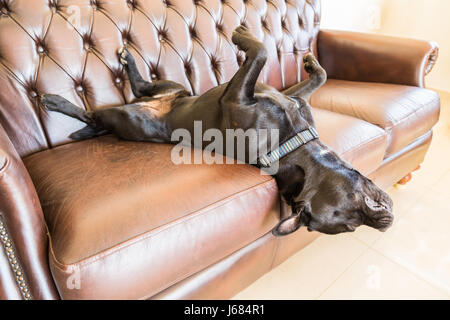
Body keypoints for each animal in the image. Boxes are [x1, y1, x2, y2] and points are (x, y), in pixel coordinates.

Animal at [42, 26, 394, 235]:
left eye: (350, 223)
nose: (384, 223)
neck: (292, 142)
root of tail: (158, 106)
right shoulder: (285, 96)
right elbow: (309, 73)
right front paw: (308, 62)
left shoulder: (240, 96)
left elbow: (262, 53)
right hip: (171, 87)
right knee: (136, 88)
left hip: (128, 118)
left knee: (94, 115)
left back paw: (58, 102)